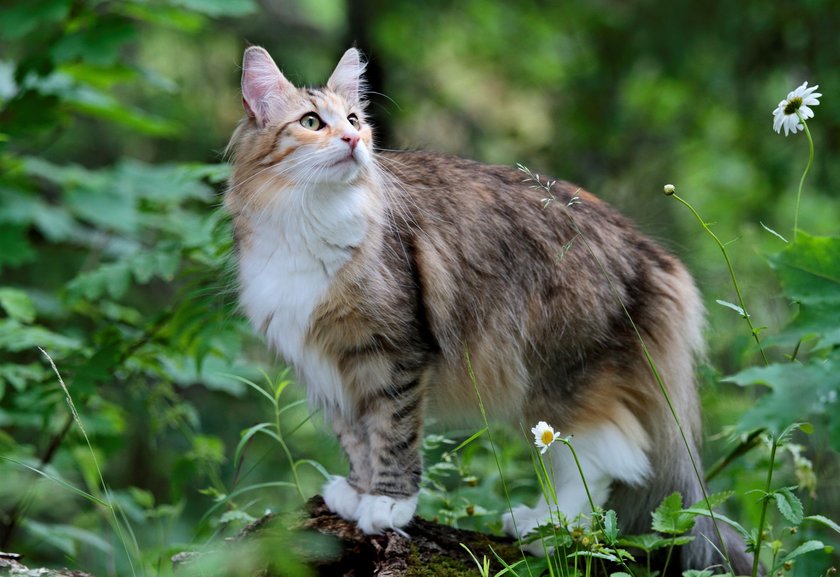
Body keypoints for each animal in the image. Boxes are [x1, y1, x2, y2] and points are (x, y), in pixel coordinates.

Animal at [225, 47, 756, 572]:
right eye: (312, 122)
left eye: (354, 119)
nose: (354, 138)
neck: (308, 217)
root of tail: (653, 255)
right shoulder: (330, 365)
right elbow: (357, 440)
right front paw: (357, 494)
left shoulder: (393, 354)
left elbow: (393, 434)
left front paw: (388, 504)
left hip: (559, 377)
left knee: (600, 459)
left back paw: (550, 528)